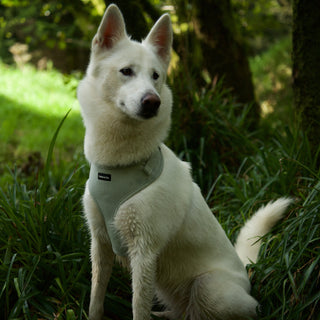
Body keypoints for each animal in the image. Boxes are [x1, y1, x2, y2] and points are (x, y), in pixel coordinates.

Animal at [77, 3, 290, 318]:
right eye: (126, 71)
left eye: (156, 76)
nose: (153, 102)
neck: (120, 165)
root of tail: (245, 276)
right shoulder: (100, 244)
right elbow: (96, 298)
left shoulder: (144, 253)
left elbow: (138, 308)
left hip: (209, 289)